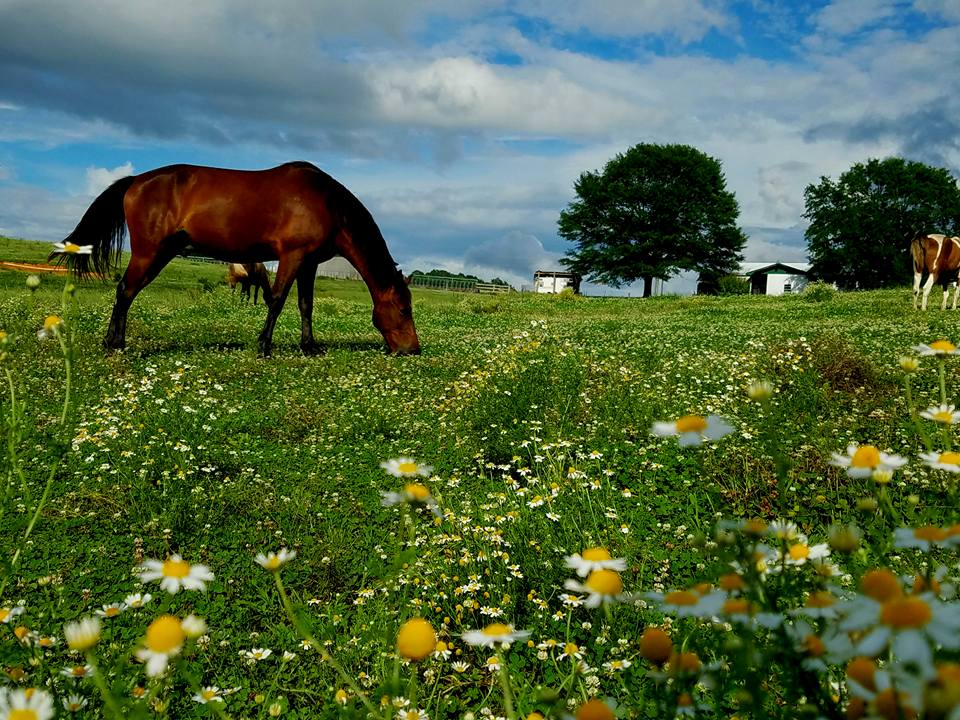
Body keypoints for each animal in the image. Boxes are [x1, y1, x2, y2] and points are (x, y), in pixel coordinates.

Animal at [59, 162, 420, 356]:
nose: (413, 349)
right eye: (404, 309)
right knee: (125, 291)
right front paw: (263, 346)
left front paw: (309, 347)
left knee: (127, 292)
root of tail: (135, 181)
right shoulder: (292, 256)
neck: (326, 202)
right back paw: (115, 343)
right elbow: (277, 300)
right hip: (150, 253)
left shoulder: (309, 263)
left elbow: (306, 305)